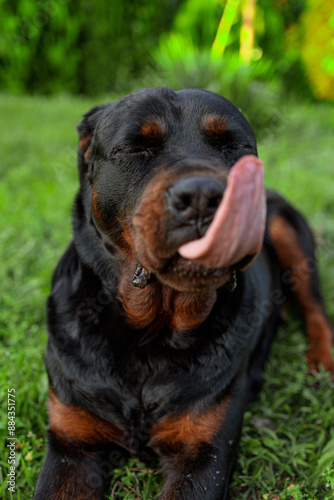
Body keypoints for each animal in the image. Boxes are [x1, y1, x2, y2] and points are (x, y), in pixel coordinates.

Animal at [34, 89, 334, 500]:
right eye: (136, 148)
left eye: (232, 146)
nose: (203, 196)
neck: (150, 338)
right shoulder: (72, 442)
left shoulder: (205, 451)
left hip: (286, 227)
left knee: (316, 308)